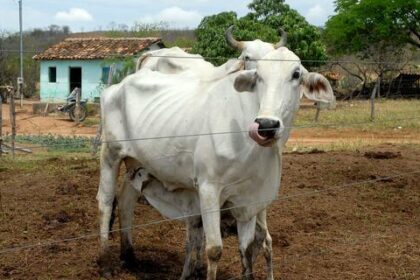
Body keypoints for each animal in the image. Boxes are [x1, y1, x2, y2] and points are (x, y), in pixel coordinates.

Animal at [97, 46, 334, 280]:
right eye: (258, 75)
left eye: (296, 74)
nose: (266, 125)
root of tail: (119, 85)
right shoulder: (208, 189)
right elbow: (214, 250)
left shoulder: (250, 200)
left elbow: (247, 249)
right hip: (110, 154)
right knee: (106, 202)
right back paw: (105, 262)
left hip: (136, 163)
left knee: (126, 201)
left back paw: (129, 257)